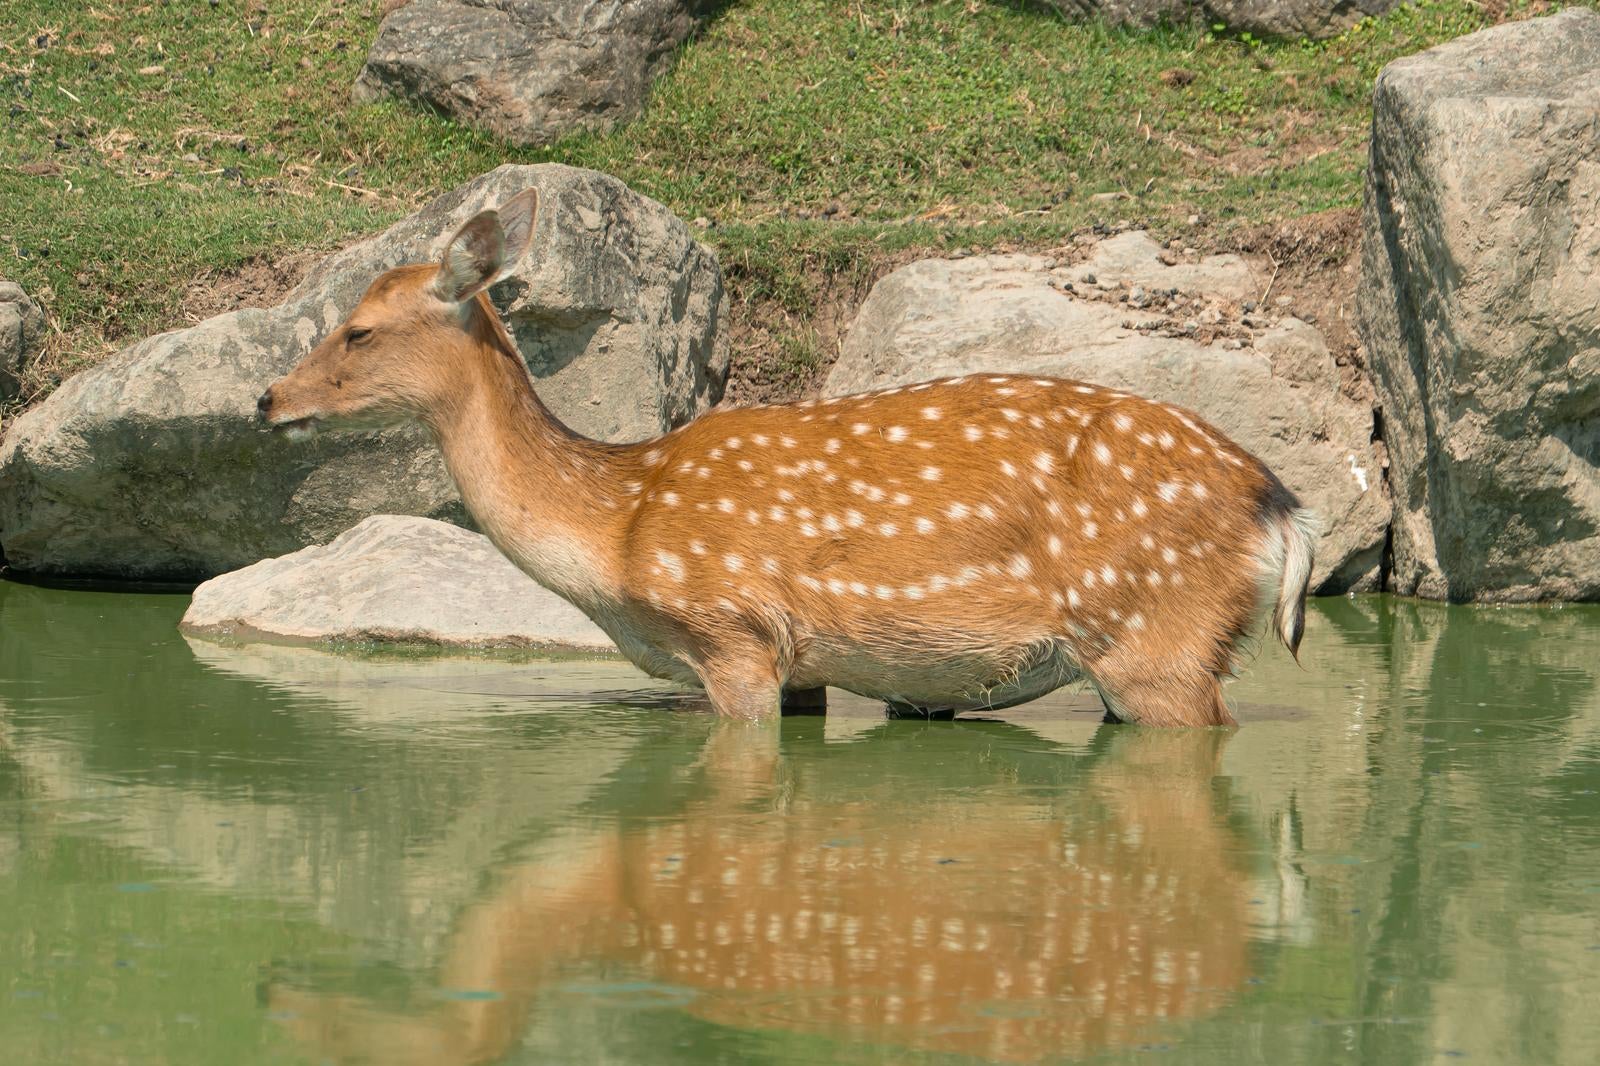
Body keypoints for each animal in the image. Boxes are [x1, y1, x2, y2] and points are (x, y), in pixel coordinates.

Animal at [257, 189, 1318, 726]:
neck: (614, 531)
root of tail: (1282, 508)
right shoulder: (802, 663)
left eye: (357, 330)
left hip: (1153, 637)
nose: (267, 400)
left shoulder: (732, 628)